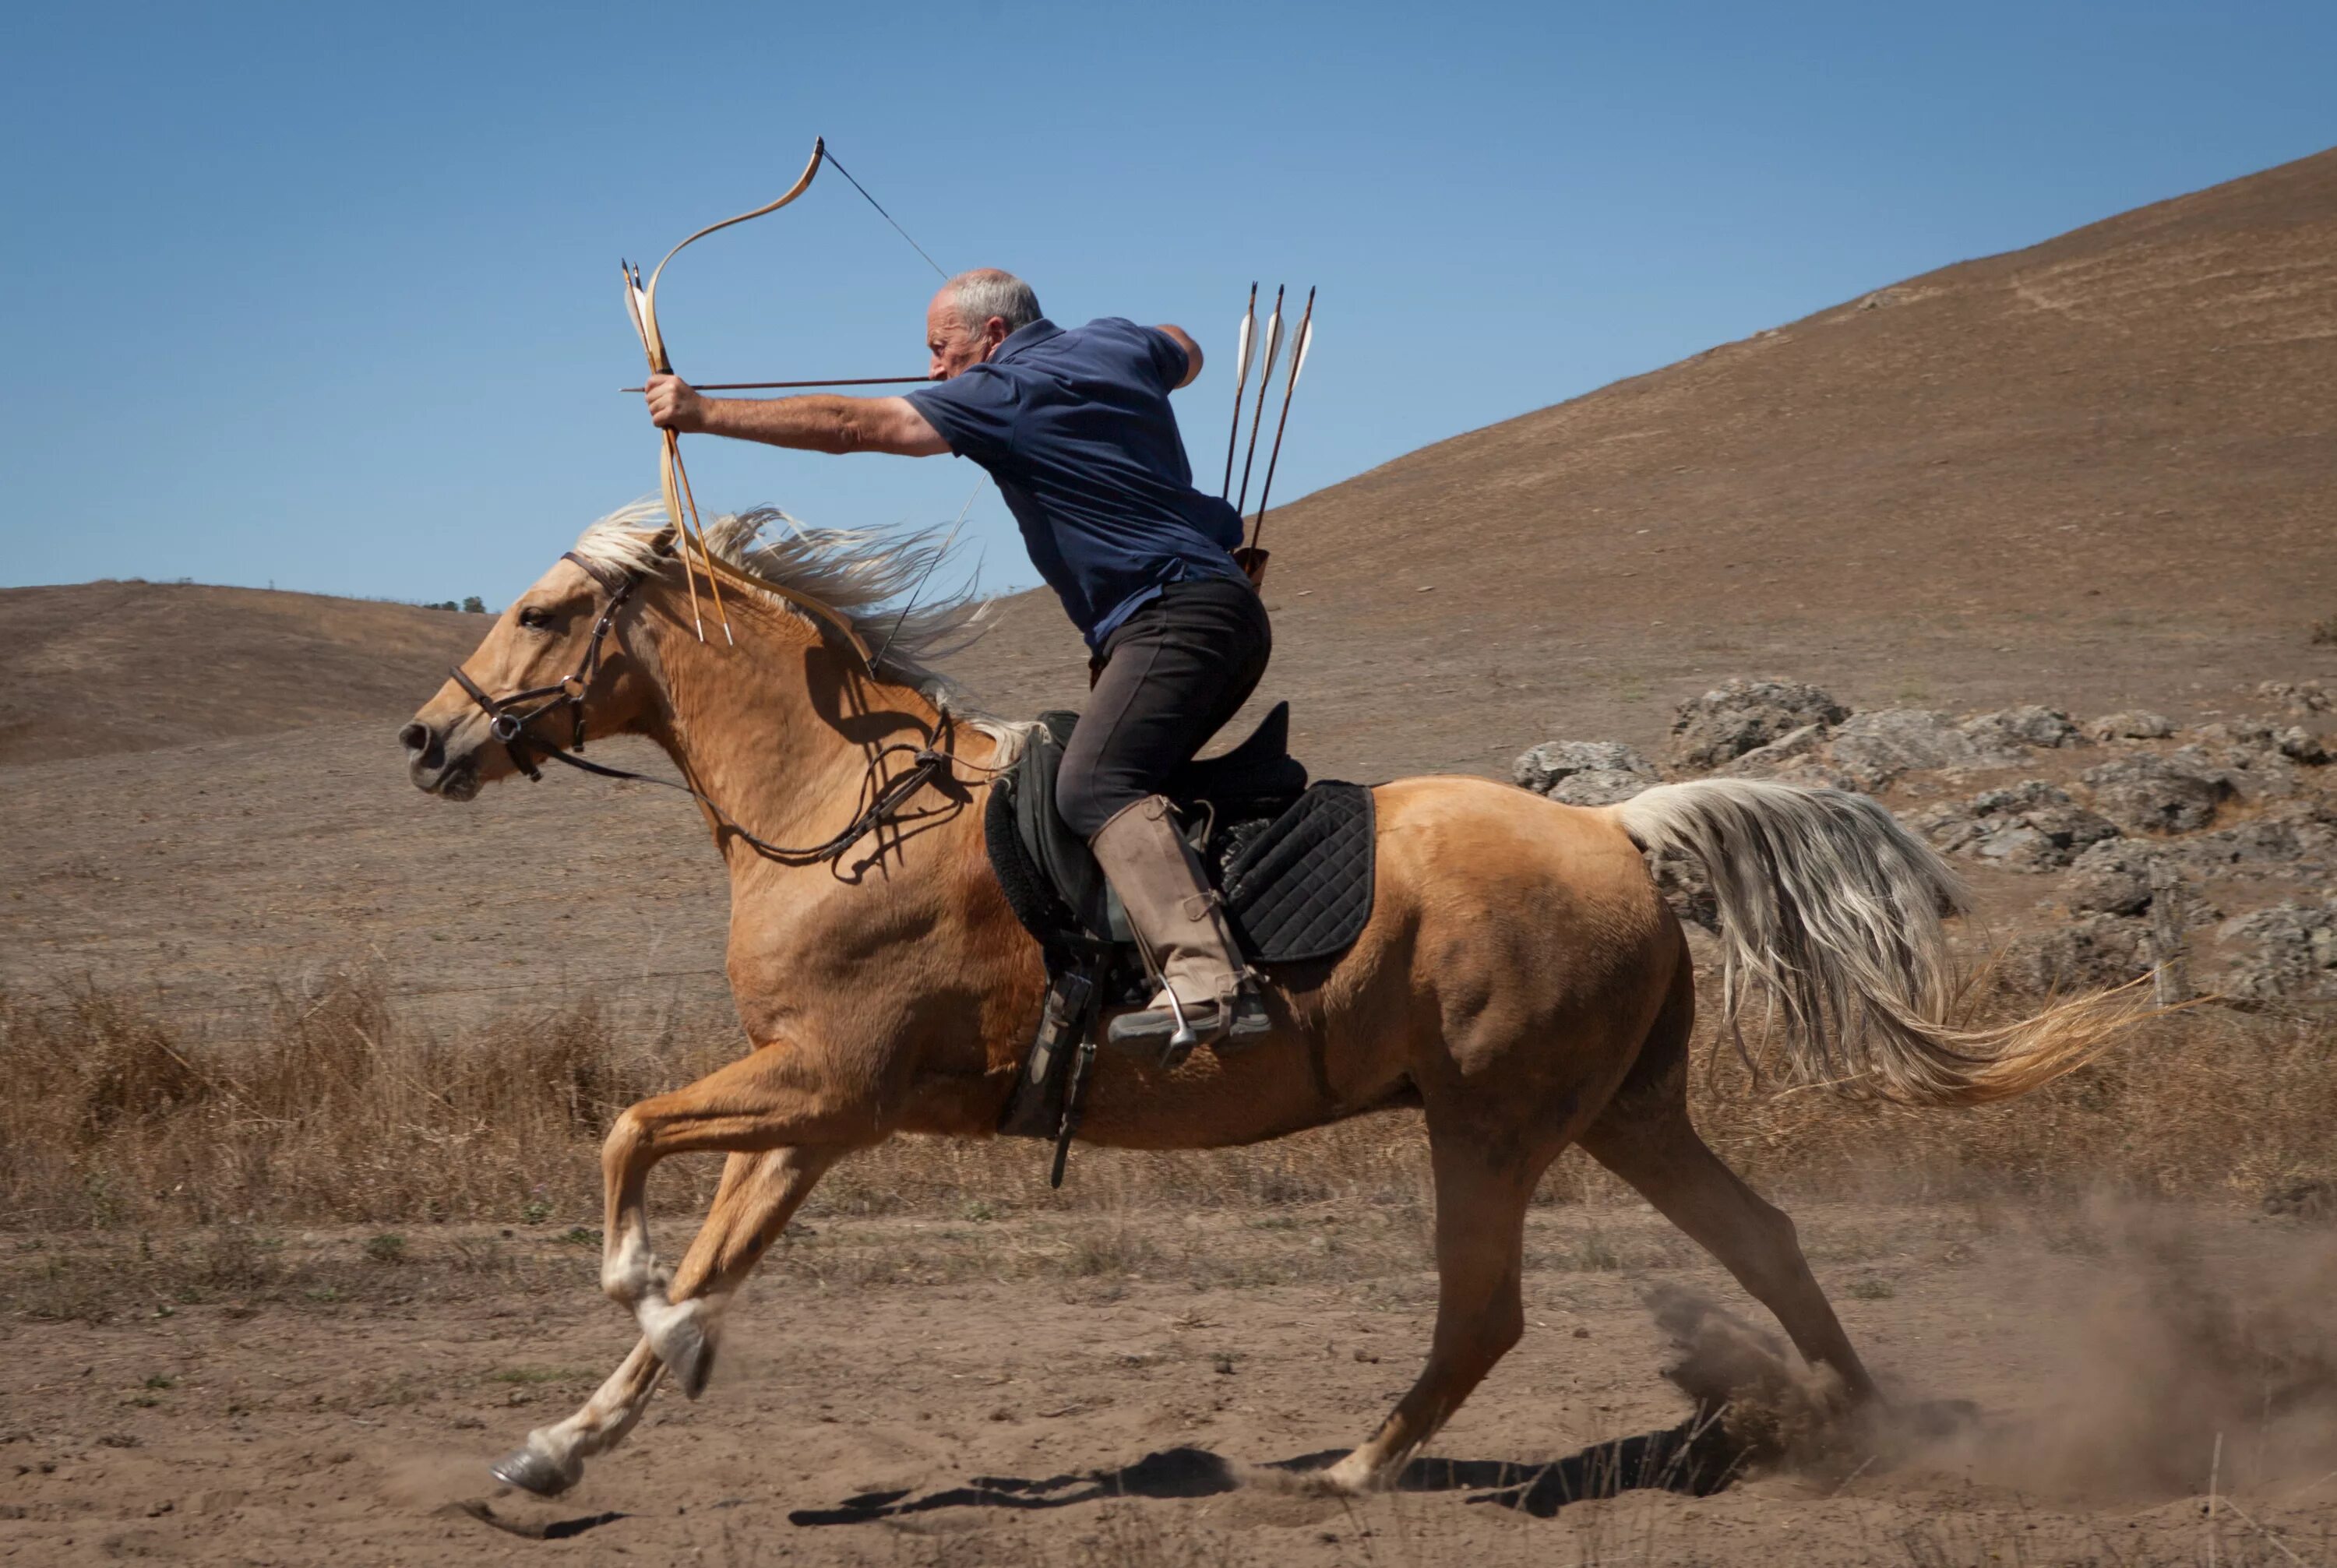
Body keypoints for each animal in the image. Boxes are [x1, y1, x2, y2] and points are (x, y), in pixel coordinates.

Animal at [397, 502, 2141, 1496]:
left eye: (544, 612)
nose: (426, 741)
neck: (841, 804)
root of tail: (1617, 828)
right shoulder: (810, 1112)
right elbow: (709, 1252)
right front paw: (566, 1441)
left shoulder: (829, 1085)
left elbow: (628, 1146)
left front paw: (638, 1304)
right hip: (1625, 1112)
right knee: (1764, 1240)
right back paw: (1880, 1432)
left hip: (1494, 1123)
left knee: (1486, 1308)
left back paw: (1351, 1472)